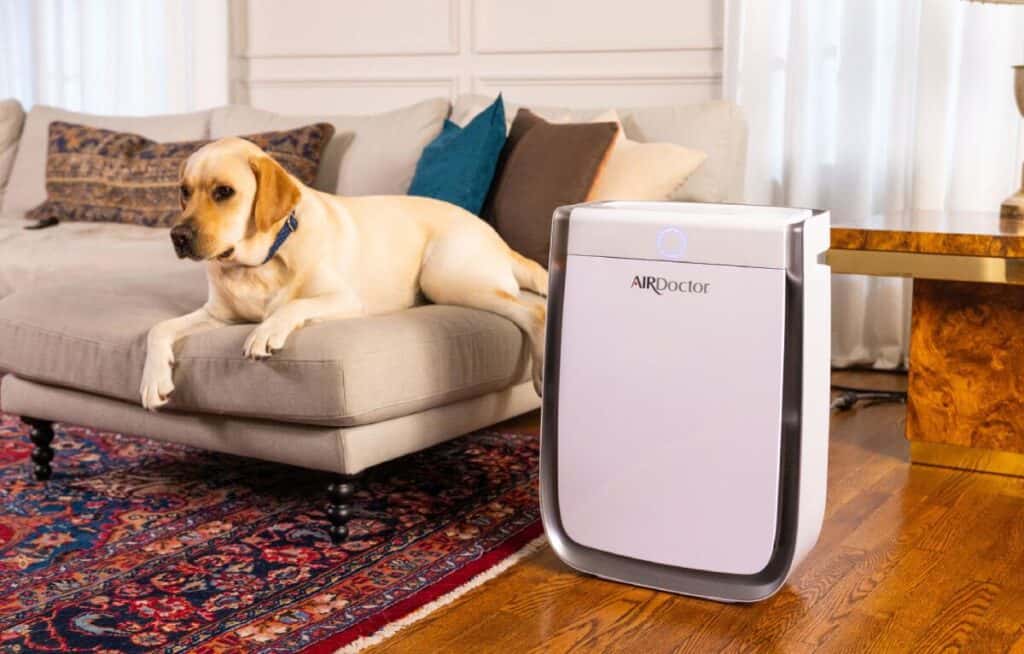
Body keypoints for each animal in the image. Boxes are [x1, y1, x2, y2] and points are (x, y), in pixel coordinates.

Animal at [142, 138, 552, 411]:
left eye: (224, 192)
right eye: (184, 192)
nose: (178, 236)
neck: (259, 264)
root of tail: (496, 236)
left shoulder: (347, 300)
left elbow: (290, 307)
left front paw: (265, 332)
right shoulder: (217, 315)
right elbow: (158, 328)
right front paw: (152, 380)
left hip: (446, 279)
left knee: (535, 311)